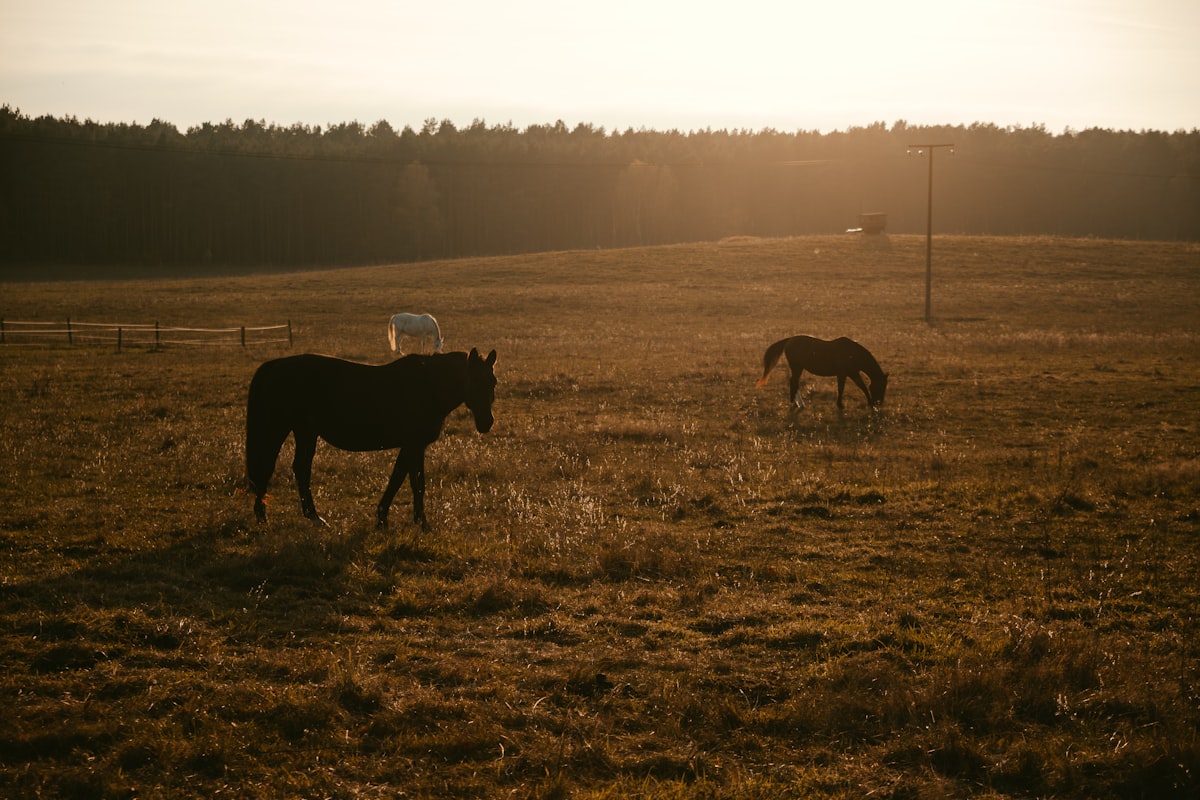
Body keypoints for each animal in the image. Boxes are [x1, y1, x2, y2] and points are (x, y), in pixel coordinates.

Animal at [245, 348, 497, 529]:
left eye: (492, 382)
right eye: (475, 381)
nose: (487, 422)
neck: (427, 386)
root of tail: (275, 365)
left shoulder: (415, 446)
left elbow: (407, 480)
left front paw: (404, 519)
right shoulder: (413, 444)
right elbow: (407, 480)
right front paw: (402, 520)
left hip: (305, 432)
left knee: (300, 468)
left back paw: (312, 517)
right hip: (279, 428)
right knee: (268, 467)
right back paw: (264, 517)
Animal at [756, 335, 888, 411]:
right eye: (880, 386)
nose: (879, 403)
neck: (852, 354)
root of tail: (789, 340)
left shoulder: (852, 373)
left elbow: (860, 387)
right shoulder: (846, 374)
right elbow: (847, 388)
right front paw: (841, 404)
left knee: (794, 382)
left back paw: (796, 403)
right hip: (797, 368)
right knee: (794, 382)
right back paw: (796, 403)